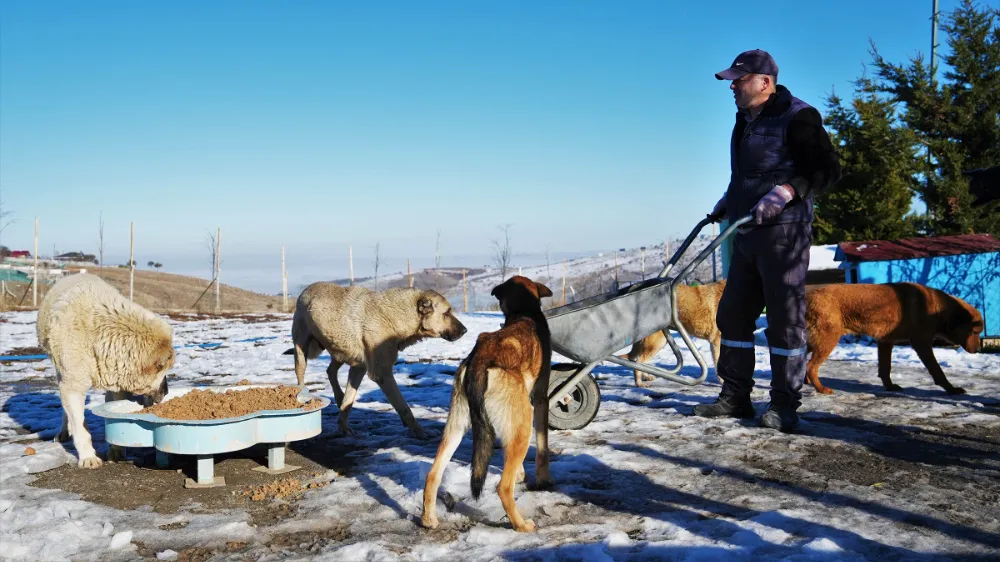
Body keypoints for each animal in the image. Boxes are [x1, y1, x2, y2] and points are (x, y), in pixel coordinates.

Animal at [422, 274, 556, 528]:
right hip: (524, 424)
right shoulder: (540, 400)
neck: (524, 311)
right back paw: (521, 525)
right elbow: (543, 449)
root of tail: (481, 357)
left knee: (433, 474)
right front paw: (543, 480)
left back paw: (428, 519)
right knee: (503, 487)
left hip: (456, 427)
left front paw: (520, 473)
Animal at [804, 280, 984, 394]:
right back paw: (821, 389)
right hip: (827, 339)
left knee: (804, 362)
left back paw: (806, 383)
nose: (978, 350)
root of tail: (807, 297)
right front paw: (951, 389)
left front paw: (890, 387)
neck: (938, 309)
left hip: (814, 341)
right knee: (811, 366)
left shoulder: (885, 342)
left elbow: (885, 368)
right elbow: (937, 370)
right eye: (974, 332)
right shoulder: (922, 343)